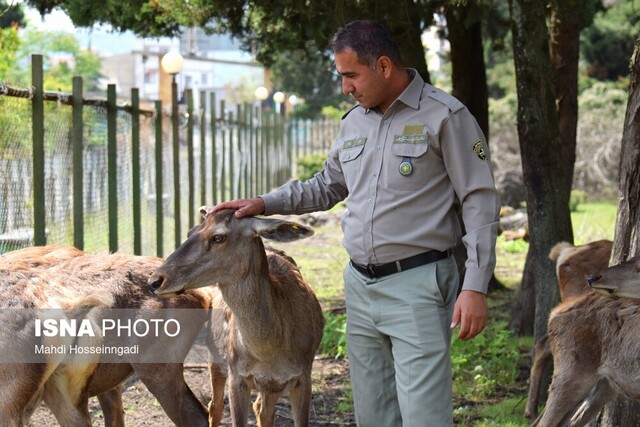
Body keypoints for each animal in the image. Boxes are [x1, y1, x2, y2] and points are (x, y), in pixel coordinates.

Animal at [148, 210, 322, 427]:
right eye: (190, 232)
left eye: (218, 237)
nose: (154, 281)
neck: (269, 353)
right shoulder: (236, 373)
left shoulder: (304, 374)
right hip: (215, 356)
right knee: (215, 406)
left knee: (262, 410)